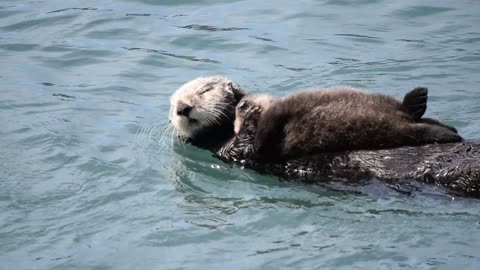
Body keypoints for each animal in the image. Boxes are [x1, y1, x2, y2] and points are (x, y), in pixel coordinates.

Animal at [235, 87, 462, 161]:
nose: (244, 105)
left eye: (242, 105)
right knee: (420, 128)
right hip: (393, 129)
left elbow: (266, 128)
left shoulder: (279, 109)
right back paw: (450, 133)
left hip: (384, 104)